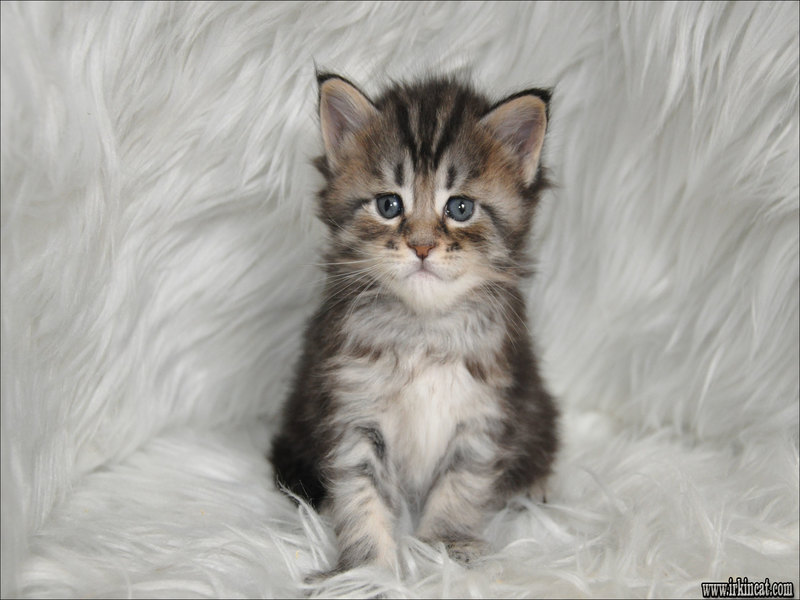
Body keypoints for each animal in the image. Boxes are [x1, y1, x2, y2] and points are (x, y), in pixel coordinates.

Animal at [272, 71, 560, 572]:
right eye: (389, 205)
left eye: (460, 208)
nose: (422, 246)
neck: (424, 330)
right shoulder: (352, 404)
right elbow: (360, 492)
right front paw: (367, 570)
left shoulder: (484, 411)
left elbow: (461, 483)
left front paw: (447, 547)